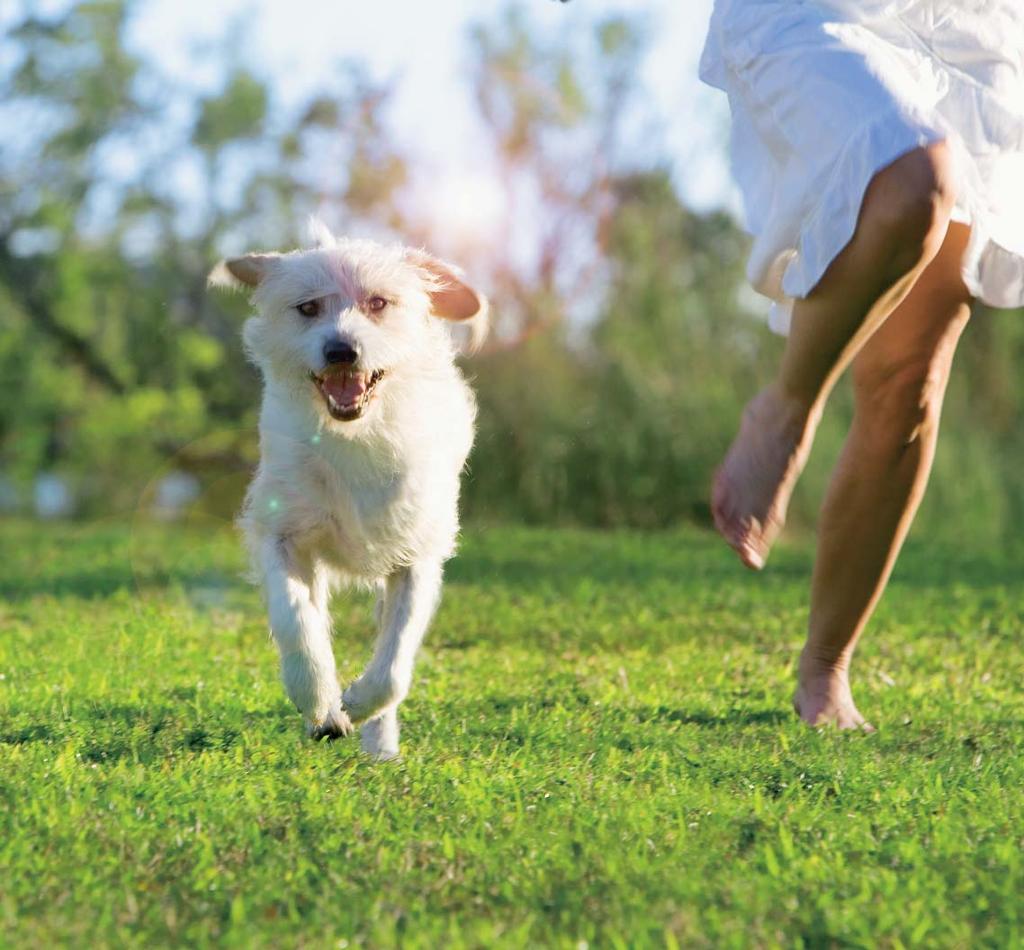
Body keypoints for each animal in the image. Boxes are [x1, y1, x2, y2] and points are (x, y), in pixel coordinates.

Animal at [209, 221, 485, 757]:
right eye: (308, 308)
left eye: (378, 303)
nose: (342, 350)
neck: (353, 438)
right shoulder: (282, 533)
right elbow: (296, 619)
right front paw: (320, 700)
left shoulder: (415, 555)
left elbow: (394, 663)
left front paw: (359, 707)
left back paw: (379, 740)